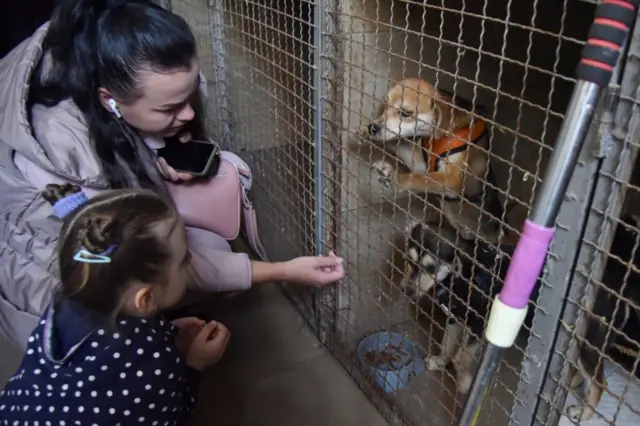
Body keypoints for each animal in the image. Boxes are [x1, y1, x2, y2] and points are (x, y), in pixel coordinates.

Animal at [364, 78, 510, 245]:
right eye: (386, 104)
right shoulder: (421, 163)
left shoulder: (452, 179)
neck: (445, 133)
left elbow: (418, 178)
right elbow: (401, 145)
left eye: (406, 113)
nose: (372, 128)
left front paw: (395, 178)